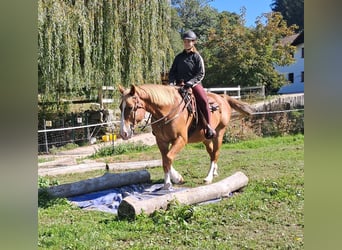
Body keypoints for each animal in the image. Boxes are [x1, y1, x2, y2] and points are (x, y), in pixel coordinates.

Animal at [118, 84, 254, 189]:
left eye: (130, 107)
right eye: (120, 107)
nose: (123, 133)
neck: (167, 110)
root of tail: (222, 97)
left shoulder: (180, 140)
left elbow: (168, 158)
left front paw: (168, 183)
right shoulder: (161, 141)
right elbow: (164, 159)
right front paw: (177, 178)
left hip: (219, 134)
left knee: (216, 153)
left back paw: (209, 177)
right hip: (206, 138)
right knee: (212, 154)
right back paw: (214, 171)